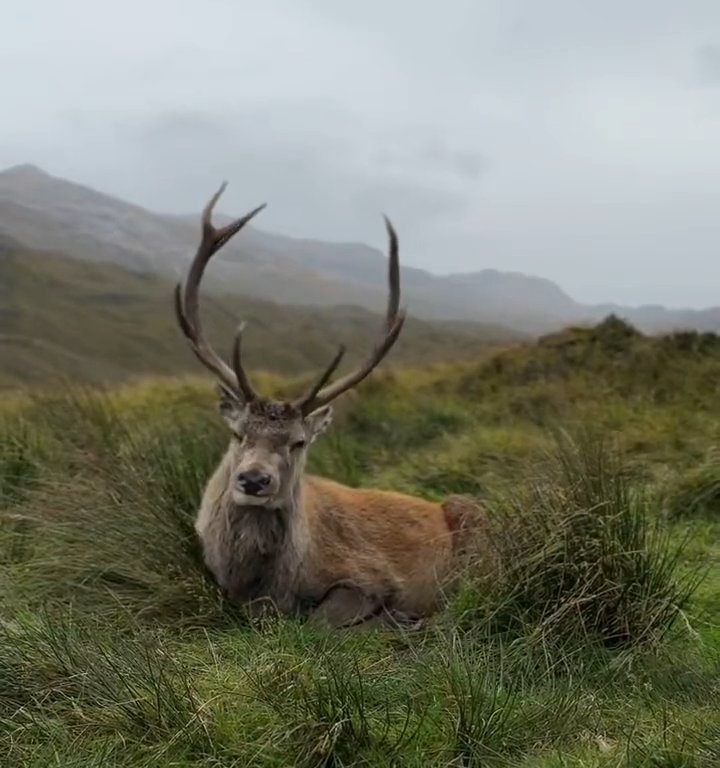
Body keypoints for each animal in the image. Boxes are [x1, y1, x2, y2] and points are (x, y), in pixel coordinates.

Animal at [173, 183, 478, 628]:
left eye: (298, 442)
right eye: (237, 433)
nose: (254, 479)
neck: (266, 583)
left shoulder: (370, 575)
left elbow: (322, 621)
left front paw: (390, 619)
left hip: (473, 517)